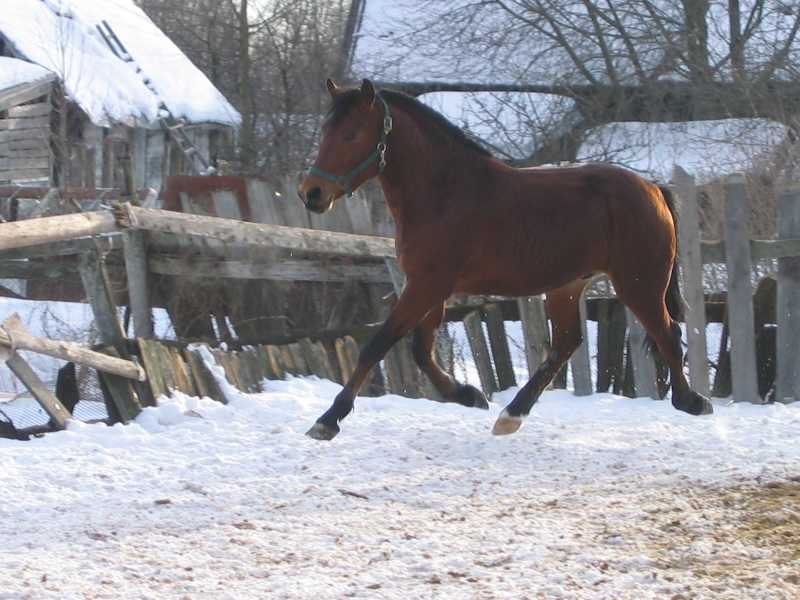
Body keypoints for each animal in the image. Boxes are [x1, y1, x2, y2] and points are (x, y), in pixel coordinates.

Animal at [298, 77, 712, 438]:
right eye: (326, 131)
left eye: (352, 134)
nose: (311, 192)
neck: (443, 192)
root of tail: (653, 189)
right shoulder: (429, 287)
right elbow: (420, 350)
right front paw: (467, 395)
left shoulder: (427, 286)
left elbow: (379, 344)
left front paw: (328, 420)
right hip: (568, 286)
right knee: (566, 344)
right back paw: (511, 415)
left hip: (639, 283)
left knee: (667, 332)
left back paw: (692, 401)